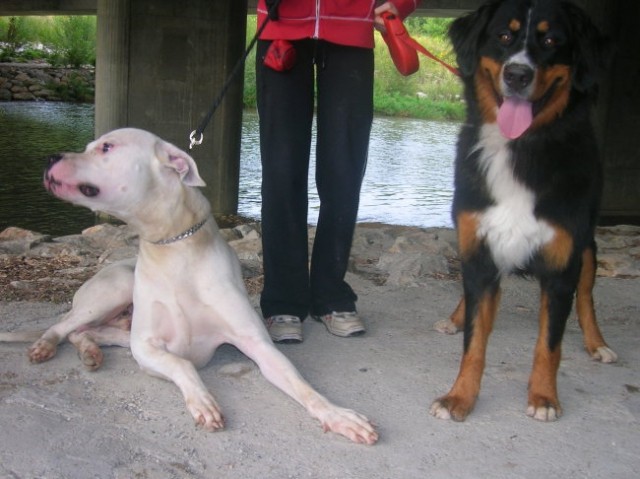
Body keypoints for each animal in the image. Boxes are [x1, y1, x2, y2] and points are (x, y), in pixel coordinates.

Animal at [0, 128, 378, 446]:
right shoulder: (146, 347)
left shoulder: (258, 345)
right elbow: (183, 365)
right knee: (62, 325)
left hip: (117, 325)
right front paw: (203, 401)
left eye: (106, 147)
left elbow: (303, 386)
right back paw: (45, 345)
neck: (172, 245)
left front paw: (339, 416)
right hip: (115, 288)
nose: (49, 157)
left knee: (82, 332)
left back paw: (90, 351)